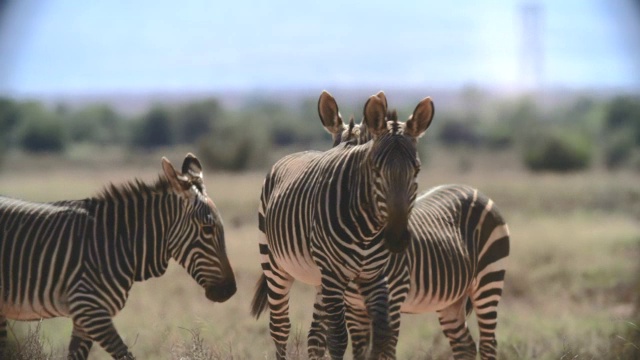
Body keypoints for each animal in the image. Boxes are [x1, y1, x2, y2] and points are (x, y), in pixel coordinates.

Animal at [0, 153, 235, 358]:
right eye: (207, 229)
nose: (230, 290)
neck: (119, 242)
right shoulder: (91, 310)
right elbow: (125, 355)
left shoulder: (83, 318)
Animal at [250, 91, 436, 358]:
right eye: (375, 168)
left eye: (417, 170)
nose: (397, 238)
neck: (367, 229)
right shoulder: (334, 274)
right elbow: (338, 338)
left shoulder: (373, 276)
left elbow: (381, 335)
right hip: (275, 264)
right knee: (280, 328)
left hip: (320, 281)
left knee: (314, 337)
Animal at [320, 102, 510, 360]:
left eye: (417, 169)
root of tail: (473, 189)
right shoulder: (354, 308)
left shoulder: (392, 301)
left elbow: (386, 353)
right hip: (452, 300)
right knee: (465, 345)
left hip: (489, 280)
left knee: (489, 344)